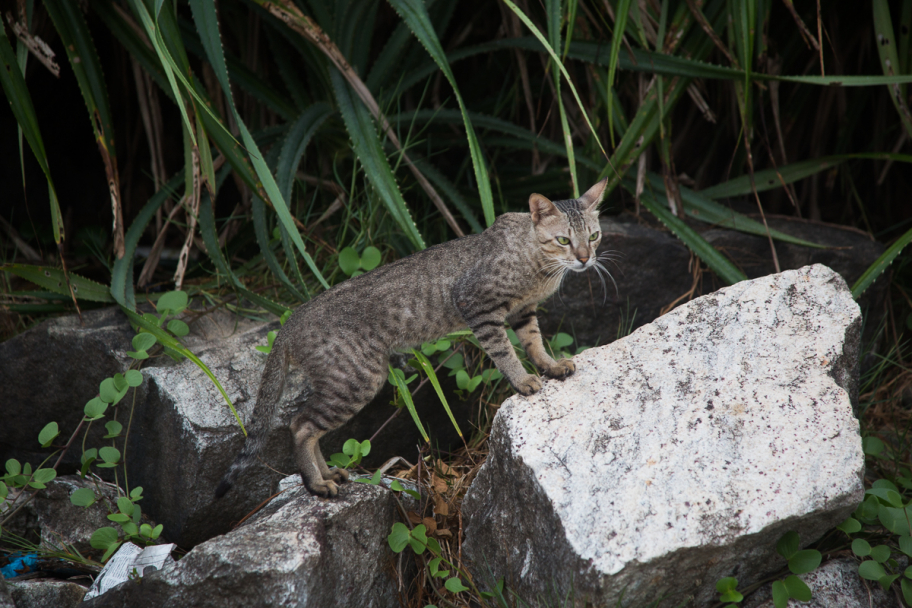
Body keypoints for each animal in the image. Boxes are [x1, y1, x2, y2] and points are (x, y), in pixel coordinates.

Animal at [216, 177, 608, 498]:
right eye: (563, 240)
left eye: (593, 236)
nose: (585, 259)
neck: (538, 265)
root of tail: (290, 321)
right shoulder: (478, 306)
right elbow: (505, 352)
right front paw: (523, 380)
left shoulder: (523, 311)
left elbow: (534, 342)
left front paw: (550, 366)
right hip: (358, 378)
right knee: (300, 426)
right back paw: (317, 484)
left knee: (308, 428)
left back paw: (330, 473)